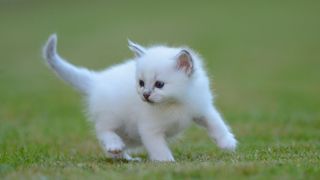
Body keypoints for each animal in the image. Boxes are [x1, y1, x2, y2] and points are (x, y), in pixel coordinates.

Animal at [43, 33, 238, 162]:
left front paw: (228, 143)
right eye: (141, 83)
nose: (145, 95)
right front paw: (167, 163)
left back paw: (124, 157)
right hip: (113, 118)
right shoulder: (149, 129)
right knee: (102, 131)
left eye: (159, 84)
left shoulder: (202, 107)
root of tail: (96, 80)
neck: (174, 103)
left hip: (130, 134)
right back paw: (115, 145)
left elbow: (217, 124)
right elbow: (158, 147)